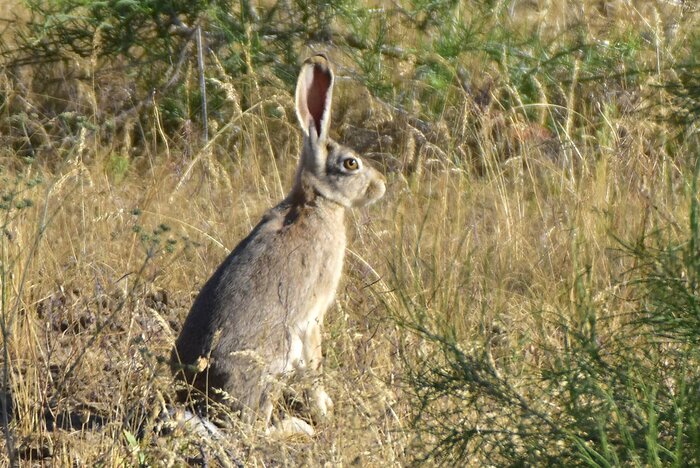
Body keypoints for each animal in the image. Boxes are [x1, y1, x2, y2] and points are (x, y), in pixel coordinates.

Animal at [171, 54, 386, 429]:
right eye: (351, 163)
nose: (382, 184)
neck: (315, 201)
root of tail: (200, 395)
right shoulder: (312, 318)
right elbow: (314, 366)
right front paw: (324, 409)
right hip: (273, 361)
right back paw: (295, 428)